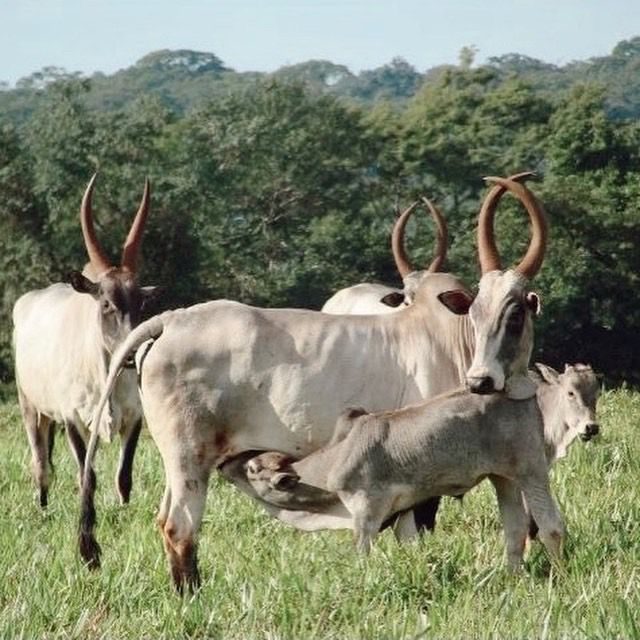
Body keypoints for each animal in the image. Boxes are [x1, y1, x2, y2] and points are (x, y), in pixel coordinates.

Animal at [12, 174, 158, 504]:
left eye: (141, 302)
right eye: (106, 303)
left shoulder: (134, 417)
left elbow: (123, 478)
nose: (132, 353)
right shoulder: (72, 419)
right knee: (40, 465)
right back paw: (42, 507)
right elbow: (86, 477)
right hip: (31, 408)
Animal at [80, 174, 548, 592]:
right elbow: (413, 526)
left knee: (164, 521)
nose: (482, 381)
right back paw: (190, 597)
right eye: (477, 313)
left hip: (179, 461)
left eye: (515, 314)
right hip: (189, 457)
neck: (450, 340)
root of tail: (172, 319)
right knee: (180, 527)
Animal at [229, 360, 600, 568]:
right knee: (515, 530)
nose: (227, 462)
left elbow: (361, 555)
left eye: (253, 470)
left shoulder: (366, 511)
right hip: (504, 477)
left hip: (531, 471)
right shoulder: (403, 514)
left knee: (552, 527)